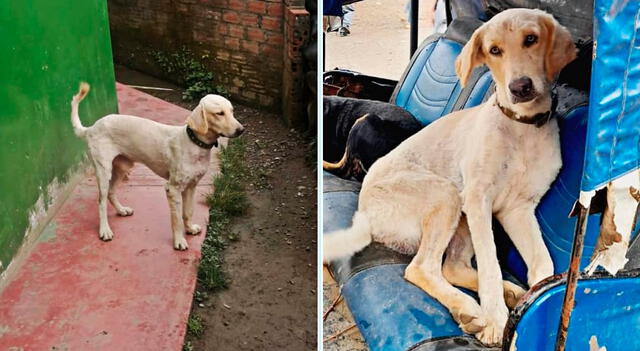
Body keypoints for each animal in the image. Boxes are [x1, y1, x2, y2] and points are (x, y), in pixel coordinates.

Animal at [70, 83, 245, 250]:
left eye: (232, 111)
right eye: (219, 113)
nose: (241, 130)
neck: (194, 143)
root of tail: (91, 128)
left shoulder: (191, 186)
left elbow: (188, 212)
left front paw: (189, 229)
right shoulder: (172, 189)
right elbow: (177, 219)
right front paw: (179, 241)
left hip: (123, 167)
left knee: (111, 193)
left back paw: (121, 210)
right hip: (103, 171)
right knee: (101, 201)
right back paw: (105, 230)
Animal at [322, 8, 576, 346]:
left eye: (532, 39)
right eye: (494, 50)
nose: (520, 87)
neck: (521, 128)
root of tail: (364, 215)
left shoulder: (518, 210)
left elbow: (541, 264)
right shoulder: (479, 201)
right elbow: (491, 265)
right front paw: (497, 321)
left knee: (451, 268)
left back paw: (507, 294)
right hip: (448, 195)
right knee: (423, 269)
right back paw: (473, 309)